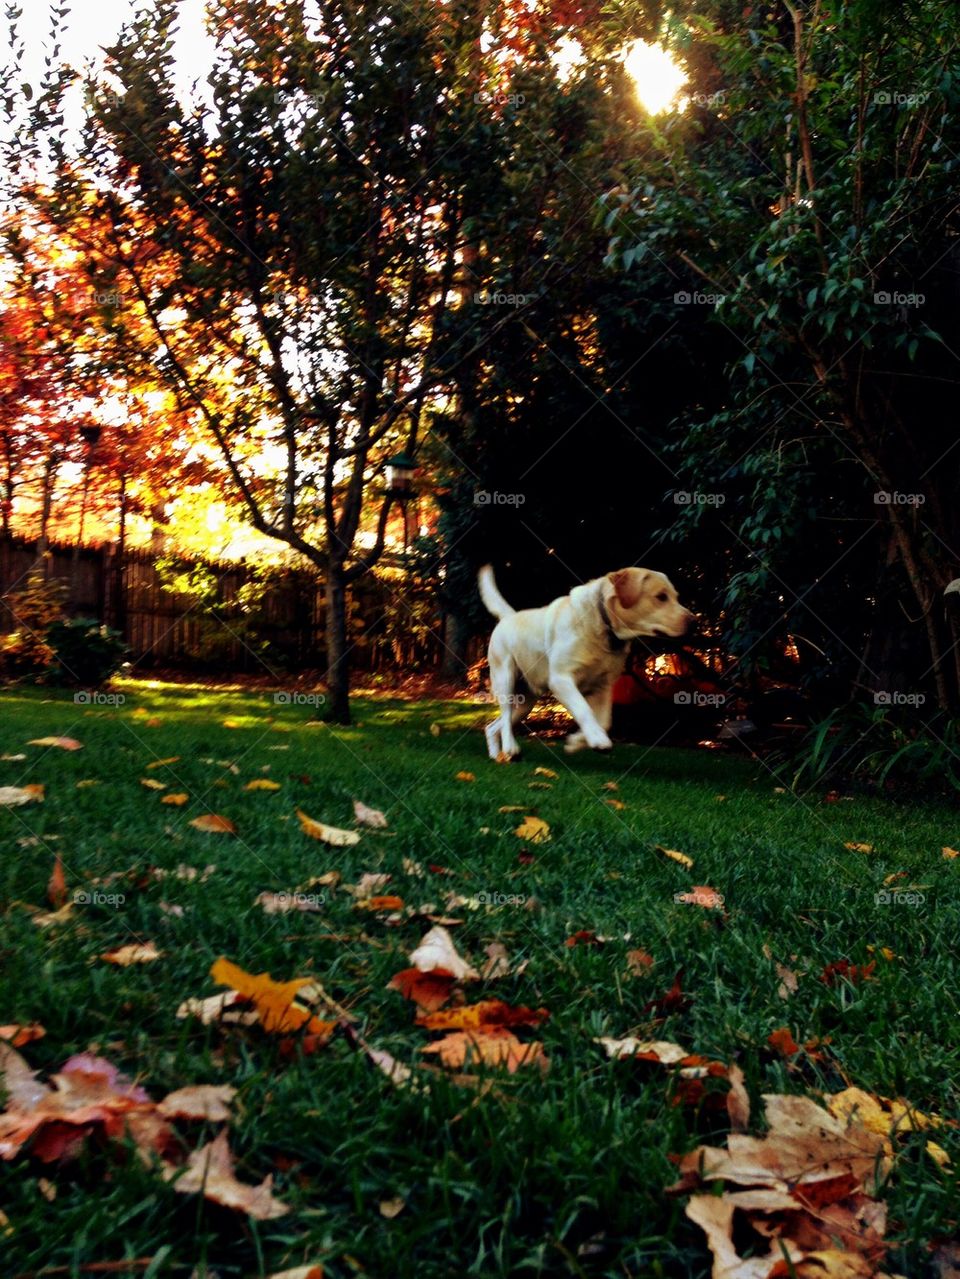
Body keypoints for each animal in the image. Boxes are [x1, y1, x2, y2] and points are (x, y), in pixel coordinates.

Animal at [480, 562, 690, 757]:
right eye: (661, 597)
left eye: (676, 597)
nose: (693, 621)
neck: (603, 626)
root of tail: (509, 616)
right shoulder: (561, 680)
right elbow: (584, 710)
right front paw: (597, 739)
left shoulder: (604, 686)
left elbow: (605, 721)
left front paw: (577, 742)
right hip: (505, 679)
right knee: (505, 717)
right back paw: (510, 748)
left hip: (526, 702)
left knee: (495, 725)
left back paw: (496, 755)